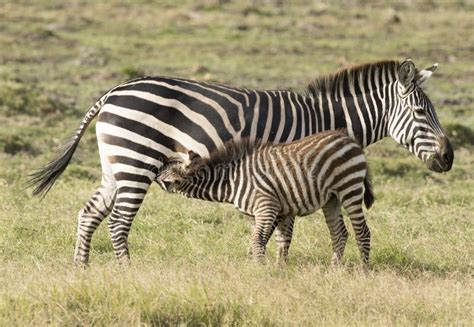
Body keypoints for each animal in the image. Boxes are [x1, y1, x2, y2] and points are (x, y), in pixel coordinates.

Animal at [158, 131, 374, 266]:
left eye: (162, 172)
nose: (153, 174)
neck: (231, 181)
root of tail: (349, 139)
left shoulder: (266, 206)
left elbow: (258, 240)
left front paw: (261, 271)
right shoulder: (259, 213)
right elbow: (266, 241)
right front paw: (271, 268)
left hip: (349, 188)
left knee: (362, 231)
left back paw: (363, 270)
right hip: (331, 198)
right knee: (339, 233)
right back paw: (333, 269)